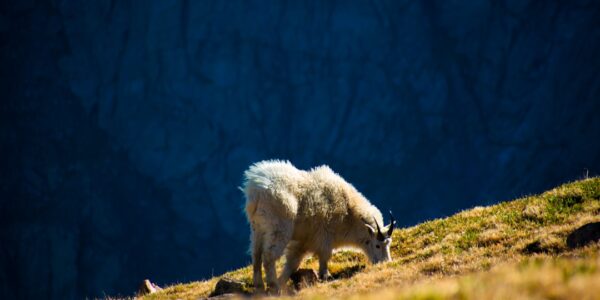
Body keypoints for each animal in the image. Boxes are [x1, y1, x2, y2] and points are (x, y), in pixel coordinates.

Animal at [241, 161, 396, 292]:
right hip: (278, 228)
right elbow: (324, 256)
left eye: (388, 244)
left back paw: (260, 286)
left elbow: (293, 262)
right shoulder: (324, 236)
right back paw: (273, 287)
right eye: (377, 245)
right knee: (269, 256)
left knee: (256, 255)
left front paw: (283, 280)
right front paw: (325, 276)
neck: (349, 212)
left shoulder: (304, 241)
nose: (386, 263)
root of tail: (256, 191)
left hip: (257, 228)